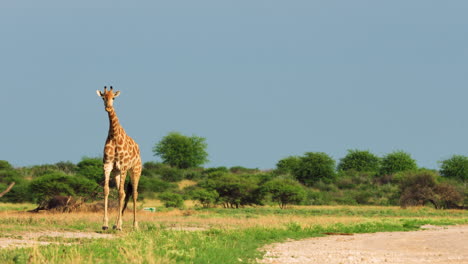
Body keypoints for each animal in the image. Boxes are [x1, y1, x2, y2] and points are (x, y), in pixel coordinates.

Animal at [96, 86, 142, 231]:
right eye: (103, 97)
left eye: (114, 98)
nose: (108, 108)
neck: (114, 135)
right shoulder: (108, 165)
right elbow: (107, 190)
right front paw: (105, 224)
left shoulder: (123, 166)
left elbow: (122, 193)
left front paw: (120, 225)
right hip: (117, 172)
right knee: (121, 193)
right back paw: (115, 224)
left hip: (135, 170)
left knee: (134, 193)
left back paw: (135, 225)